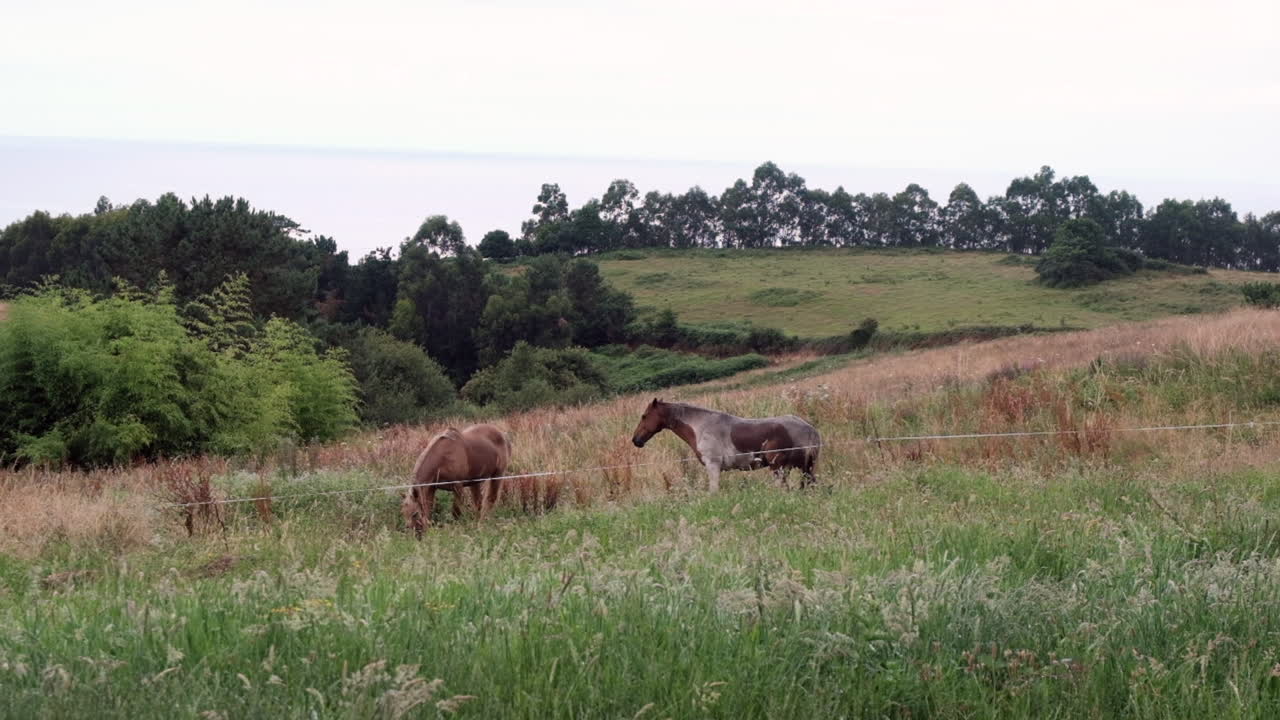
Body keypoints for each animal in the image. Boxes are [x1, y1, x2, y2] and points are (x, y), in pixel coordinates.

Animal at [630, 398, 820, 491]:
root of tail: (810, 429)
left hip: (779, 468)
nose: (635, 440)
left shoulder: (713, 466)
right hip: (800, 468)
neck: (701, 426)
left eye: (644, 416)